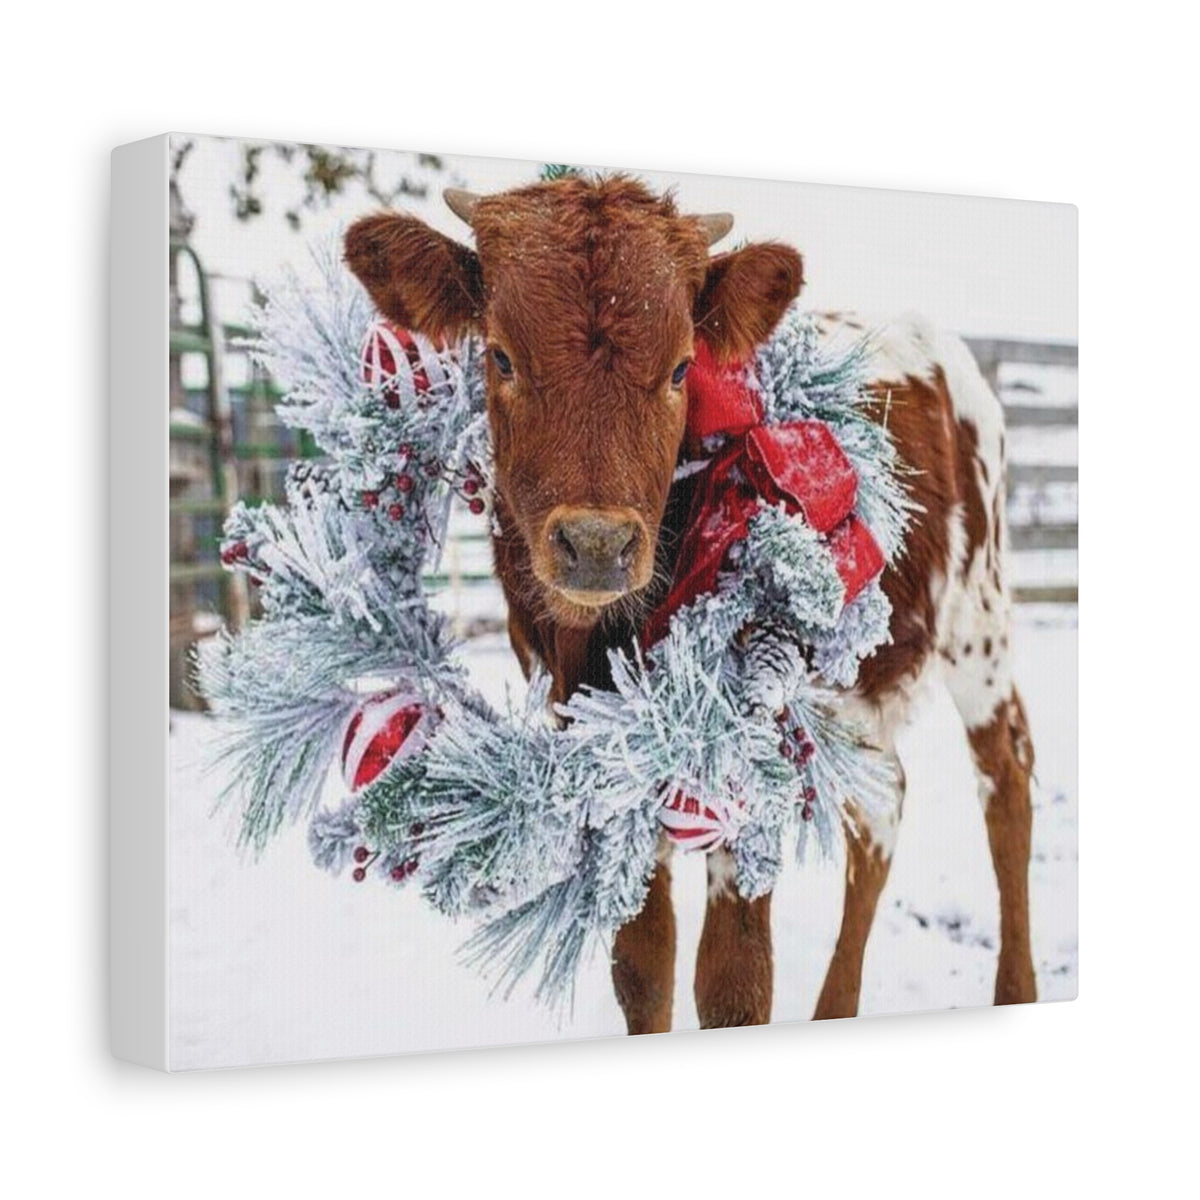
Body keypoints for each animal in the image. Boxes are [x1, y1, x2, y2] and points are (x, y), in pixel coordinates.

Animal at [344, 175, 1037, 1033]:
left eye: (681, 369)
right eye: (500, 354)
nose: (597, 544)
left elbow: (734, 981)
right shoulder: (599, 750)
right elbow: (643, 965)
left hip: (980, 613)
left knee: (1006, 778)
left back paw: (1018, 987)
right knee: (882, 803)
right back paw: (835, 1007)